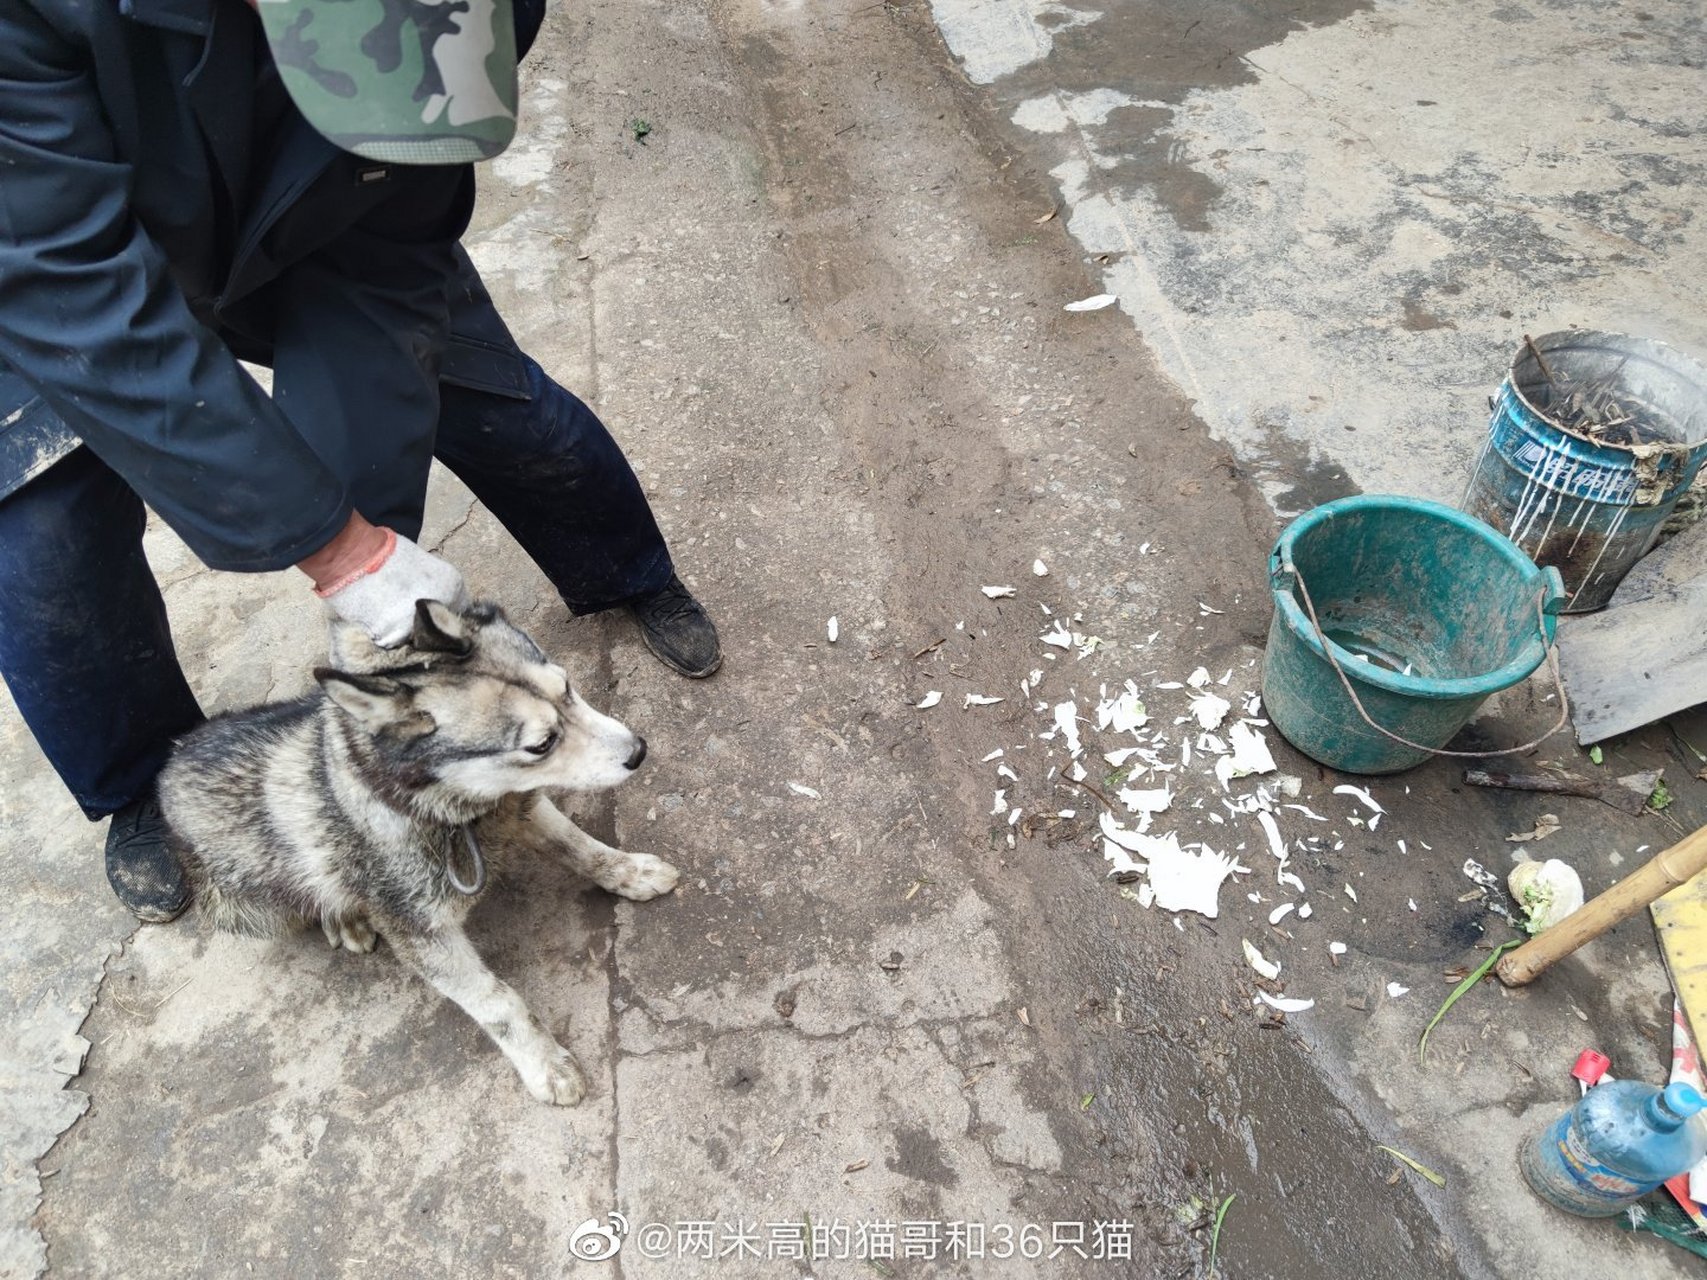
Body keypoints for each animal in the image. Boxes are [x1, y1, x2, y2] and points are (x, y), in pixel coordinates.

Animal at [153, 597, 672, 1105]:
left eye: (567, 687)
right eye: (542, 744)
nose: (638, 751)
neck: (446, 815)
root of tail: (171, 760)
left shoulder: (517, 808)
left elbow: (579, 846)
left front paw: (630, 871)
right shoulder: (419, 931)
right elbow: (496, 1001)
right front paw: (544, 1064)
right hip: (248, 905)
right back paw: (342, 916)